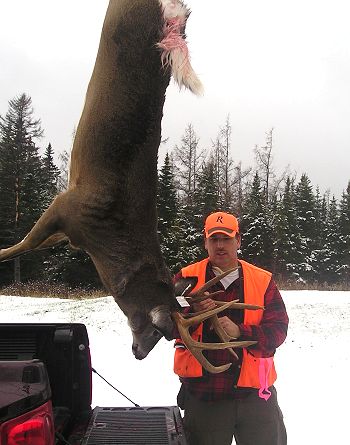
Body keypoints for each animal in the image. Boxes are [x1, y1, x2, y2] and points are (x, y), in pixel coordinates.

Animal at [0, 0, 260, 372]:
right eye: (158, 329)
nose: (137, 353)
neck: (105, 242)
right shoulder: (68, 206)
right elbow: (23, 246)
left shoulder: (69, 223)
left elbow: (34, 244)